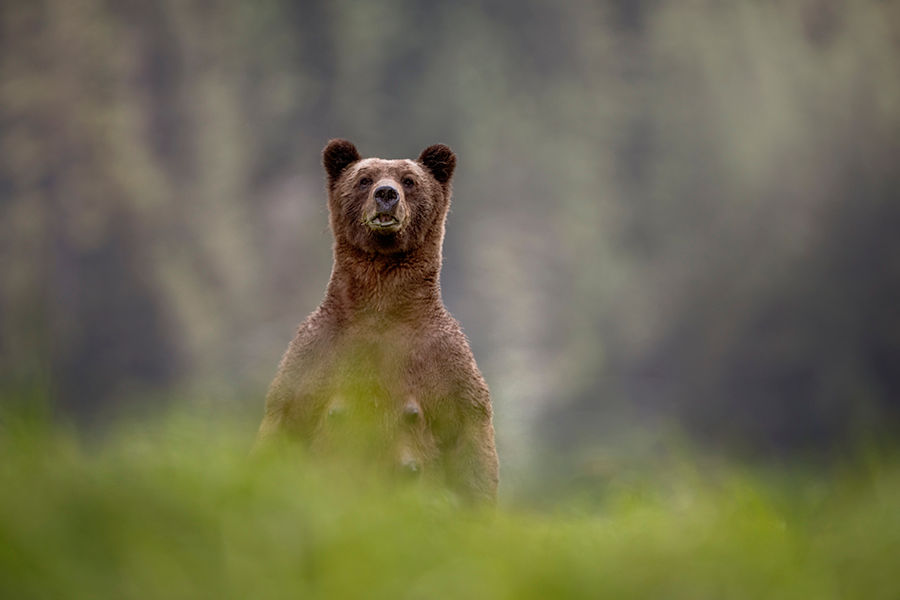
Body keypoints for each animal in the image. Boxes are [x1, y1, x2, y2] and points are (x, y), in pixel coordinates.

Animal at [256, 139, 499, 503]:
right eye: (364, 179)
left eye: (409, 180)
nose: (387, 194)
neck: (381, 312)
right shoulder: (314, 353)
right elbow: (285, 420)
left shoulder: (446, 361)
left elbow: (469, 440)